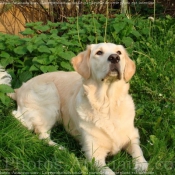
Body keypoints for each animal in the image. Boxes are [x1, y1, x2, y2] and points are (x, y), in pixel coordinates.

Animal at [0, 43, 148, 174]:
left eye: (119, 52)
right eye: (99, 52)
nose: (114, 58)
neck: (107, 104)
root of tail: (19, 89)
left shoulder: (132, 135)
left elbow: (138, 151)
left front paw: (141, 166)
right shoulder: (94, 155)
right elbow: (109, 172)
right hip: (50, 94)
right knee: (38, 131)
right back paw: (61, 149)